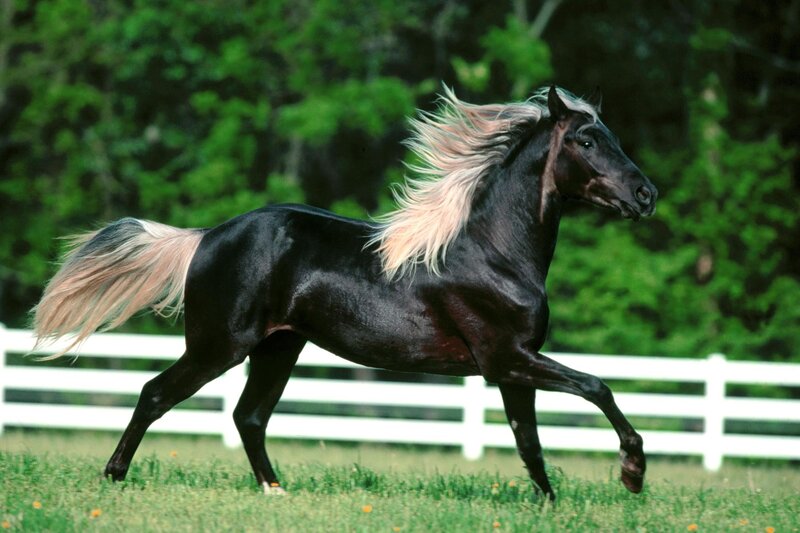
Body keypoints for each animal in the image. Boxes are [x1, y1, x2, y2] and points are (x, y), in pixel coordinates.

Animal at [32, 85, 657, 501]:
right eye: (586, 139)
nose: (646, 195)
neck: (493, 252)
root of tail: (206, 237)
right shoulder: (507, 357)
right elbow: (597, 387)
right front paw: (632, 474)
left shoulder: (513, 365)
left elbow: (529, 441)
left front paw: (549, 504)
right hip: (219, 346)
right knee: (156, 394)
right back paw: (114, 478)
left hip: (278, 347)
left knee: (248, 416)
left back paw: (276, 491)